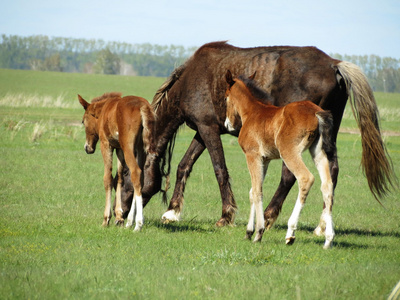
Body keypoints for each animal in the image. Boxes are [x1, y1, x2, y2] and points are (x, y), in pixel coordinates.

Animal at [78, 92, 155, 231]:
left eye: (83, 121)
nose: (87, 148)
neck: (104, 111)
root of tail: (142, 106)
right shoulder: (119, 149)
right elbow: (119, 178)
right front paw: (119, 217)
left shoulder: (106, 144)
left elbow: (108, 178)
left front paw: (106, 219)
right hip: (140, 148)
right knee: (140, 177)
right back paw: (130, 221)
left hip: (128, 146)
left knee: (135, 172)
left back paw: (138, 224)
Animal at [120, 41, 396, 229]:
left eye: (124, 176)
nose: (120, 215)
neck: (191, 79)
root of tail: (333, 65)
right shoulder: (203, 130)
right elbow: (183, 166)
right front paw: (172, 211)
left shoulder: (208, 129)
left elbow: (219, 169)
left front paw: (226, 215)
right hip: (328, 133)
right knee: (332, 170)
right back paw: (321, 224)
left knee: (290, 175)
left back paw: (270, 216)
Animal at [227, 71, 336, 250]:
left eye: (226, 97)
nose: (227, 124)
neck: (252, 113)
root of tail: (316, 113)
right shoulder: (265, 160)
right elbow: (252, 191)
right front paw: (248, 232)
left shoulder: (252, 155)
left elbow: (257, 191)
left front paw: (258, 233)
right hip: (317, 151)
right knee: (327, 185)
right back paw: (328, 239)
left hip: (289, 152)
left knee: (305, 178)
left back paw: (290, 233)